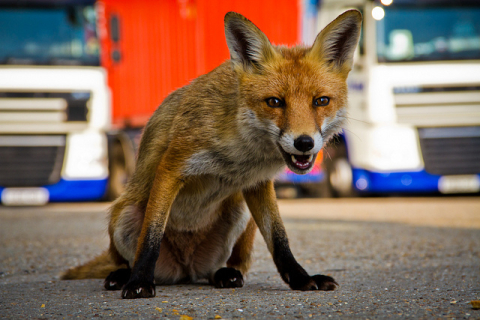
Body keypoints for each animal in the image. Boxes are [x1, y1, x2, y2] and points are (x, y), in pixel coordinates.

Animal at [61, 10, 360, 300]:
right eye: (274, 102)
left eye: (321, 101)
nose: (304, 143)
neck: (244, 153)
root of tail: (185, 269)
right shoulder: (172, 166)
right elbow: (151, 236)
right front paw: (139, 282)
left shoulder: (257, 183)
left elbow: (279, 240)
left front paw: (301, 279)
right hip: (124, 213)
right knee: (124, 258)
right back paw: (122, 275)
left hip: (240, 210)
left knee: (232, 265)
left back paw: (225, 274)